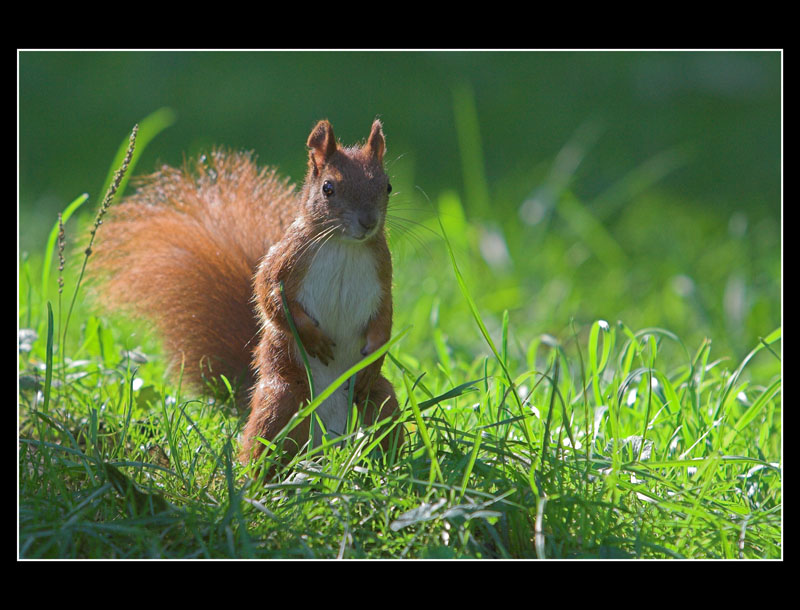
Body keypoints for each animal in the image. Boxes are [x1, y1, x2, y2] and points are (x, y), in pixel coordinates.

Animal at [91, 119, 404, 460]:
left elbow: (385, 318)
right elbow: (268, 297)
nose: (368, 222)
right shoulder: (285, 260)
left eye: (387, 186)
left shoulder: (383, 275)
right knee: (264, 444)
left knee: (381, 419)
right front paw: (312, 337)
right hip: (283, 400)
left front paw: (374, 356)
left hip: (380, 402)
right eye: (328, 188)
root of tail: (327, 445)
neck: (344, 245)